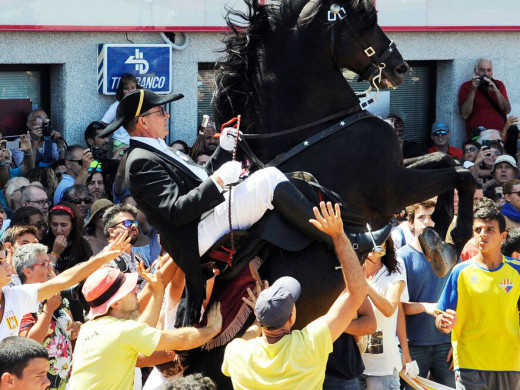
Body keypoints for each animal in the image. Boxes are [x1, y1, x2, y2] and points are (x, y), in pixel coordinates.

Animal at [181, 0, 474, 386]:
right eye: (365, 20)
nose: (400, 67)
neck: (317, 130)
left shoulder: (399, 173)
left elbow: (444, 160)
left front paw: (436, 237)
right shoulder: (393, 188)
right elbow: (462, 174)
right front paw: (447, 239)